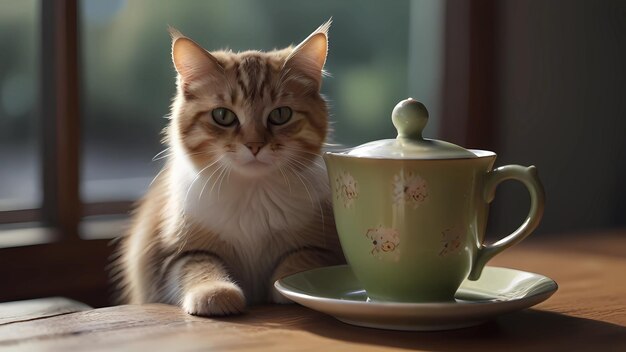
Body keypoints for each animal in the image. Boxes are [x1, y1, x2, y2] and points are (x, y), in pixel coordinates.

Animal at [114, 22, 344, 316]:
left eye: (281, 115)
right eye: (223, 116)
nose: (254, 145)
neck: (253, 194)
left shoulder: (323, 247)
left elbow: (299, 257)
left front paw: (284, 287)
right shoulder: (173, 255)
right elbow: (199, 265)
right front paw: (216, 292)